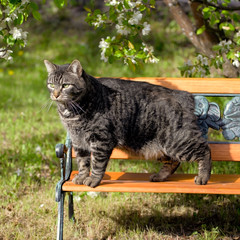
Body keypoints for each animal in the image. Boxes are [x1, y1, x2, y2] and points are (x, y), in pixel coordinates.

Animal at [44, 59, 211, 188]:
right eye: (51, 85)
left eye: (65, 85)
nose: (55, 94)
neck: (71, 113)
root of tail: (185, 94)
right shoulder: (78, 141)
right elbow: (82, 162)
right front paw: (81, 176)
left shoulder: (101, 140)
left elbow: (97, 164)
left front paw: (93, 180)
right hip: (161, 148)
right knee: (173, 162)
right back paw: (160, 176)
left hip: (177, 142)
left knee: (205, 151)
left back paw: (203, 177)